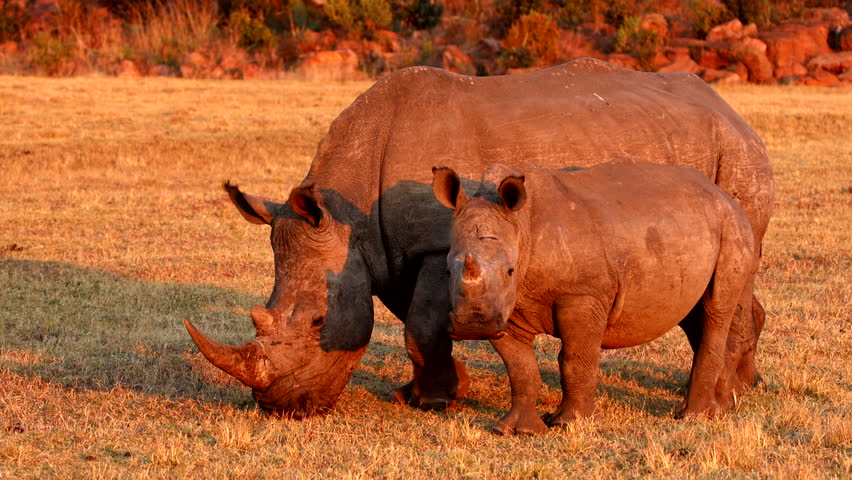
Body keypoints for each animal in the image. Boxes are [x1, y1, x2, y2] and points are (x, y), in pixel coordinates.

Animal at [432, 160, 756, 434]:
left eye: (510, 271)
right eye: (447, 271)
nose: (473, 326)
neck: (520, 226)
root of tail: (723, 194)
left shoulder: (582, 293)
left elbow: (575, 358)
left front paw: (568, 424)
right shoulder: (505, 310)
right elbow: (520, 368)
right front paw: (515, 430)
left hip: (732, 225)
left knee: (715, 309)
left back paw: (694, 416)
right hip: (692, 231)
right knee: (694, 316)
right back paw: (721, 407)